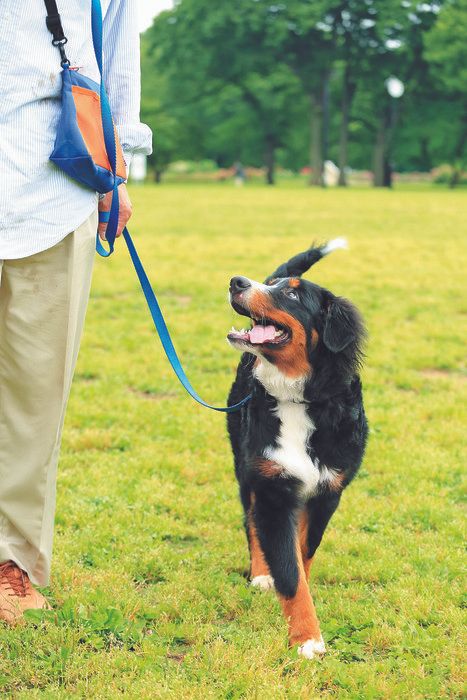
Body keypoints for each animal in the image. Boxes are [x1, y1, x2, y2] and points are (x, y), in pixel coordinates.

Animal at [227, 239, 370, 656]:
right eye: (272, 285)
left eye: (291, 293)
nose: (236, 281)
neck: (297, 399)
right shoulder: (273, 487)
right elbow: (288, 571)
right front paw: (307, 639)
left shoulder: (327, 492)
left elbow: (302, 554)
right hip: (246, 468)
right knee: (250, 521)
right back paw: (261, 575)